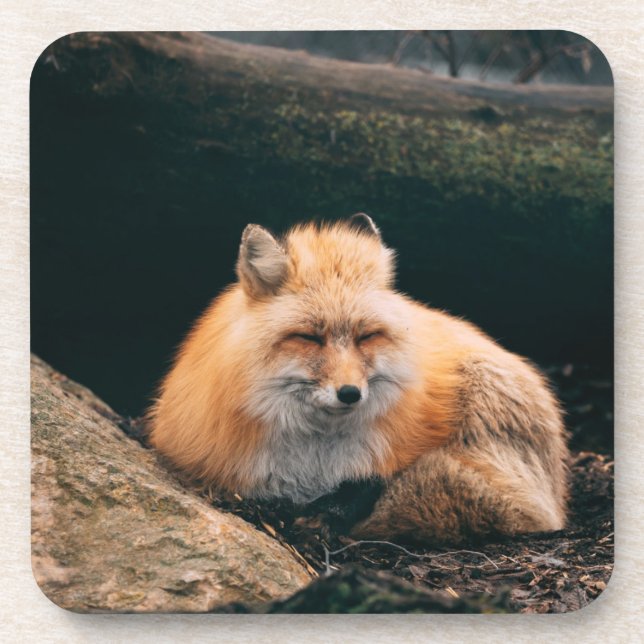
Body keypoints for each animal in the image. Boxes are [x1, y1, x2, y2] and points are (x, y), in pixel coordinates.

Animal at [148, 214, 569, 545]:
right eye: (309, 337)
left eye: (366, 336)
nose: (350, 393)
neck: (313, 461)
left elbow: (367, 486)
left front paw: (328, 515)